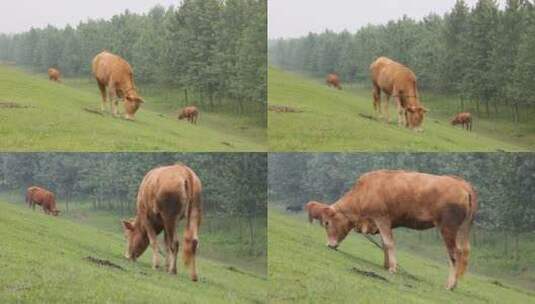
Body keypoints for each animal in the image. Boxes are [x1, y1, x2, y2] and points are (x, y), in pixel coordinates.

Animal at [314, 170, 478, 290]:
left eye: (326, 223)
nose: (329, 245)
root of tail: (462, 184)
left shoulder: (381, 217)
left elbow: (389, 243)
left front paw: (392, 268)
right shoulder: (383, 222)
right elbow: (385, 243)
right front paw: (386, 264)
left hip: (448, 228)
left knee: (455, 255)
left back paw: (450, 285)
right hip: (461, 230)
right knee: (463, 252)